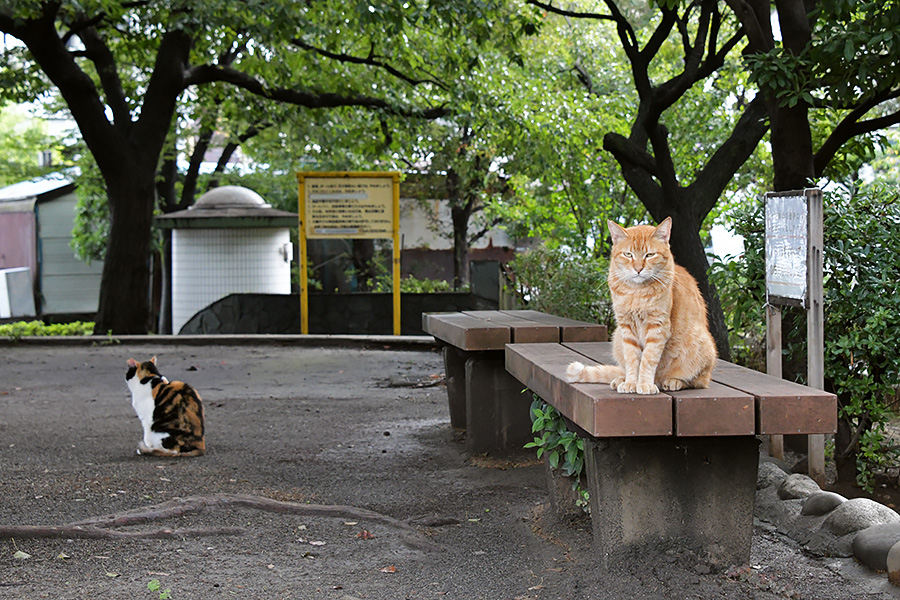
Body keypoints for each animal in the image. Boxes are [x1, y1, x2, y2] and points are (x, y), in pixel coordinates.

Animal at [568, 218, 716, 396]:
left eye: (650, 255)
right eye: (628, 254)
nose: (638, 269)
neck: (636, 293)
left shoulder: (657, 327)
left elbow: (648, 359)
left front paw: (644, 383)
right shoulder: (626, 328)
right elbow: (632, 360)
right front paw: (631, 382)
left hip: (701, 346)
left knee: (698, 381)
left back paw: (674, 382)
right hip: (617, 337)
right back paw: (621, 379)